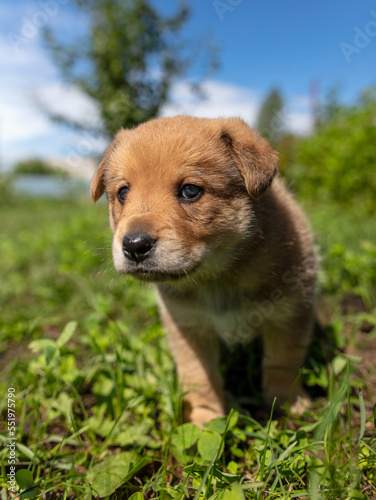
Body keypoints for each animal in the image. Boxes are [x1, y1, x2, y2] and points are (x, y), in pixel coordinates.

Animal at [91, 117, 318, 426]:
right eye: (123, 193)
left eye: (190, 190)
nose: (134, 245)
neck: (218, 278)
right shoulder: (188, 328)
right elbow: (200, 378)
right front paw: (205, 420)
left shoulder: (290, 315)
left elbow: (283, 364)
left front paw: (288, 404)